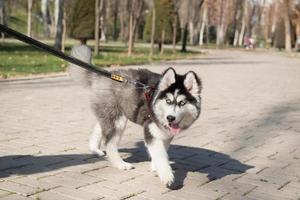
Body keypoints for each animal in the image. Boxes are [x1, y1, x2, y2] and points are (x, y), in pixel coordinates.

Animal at [68, 45, 202, 186]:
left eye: (182, 103)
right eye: (168, 101)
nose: (170, 118)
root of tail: (101, 76)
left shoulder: (165, 134)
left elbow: (162, 151)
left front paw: (155, 167)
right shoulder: (150, 130)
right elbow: (160, 155)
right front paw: (167, 176)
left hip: (109, 114)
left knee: (99, 128)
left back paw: (95, 149)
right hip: (118, 121)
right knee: (110, 144)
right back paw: (120, 164)